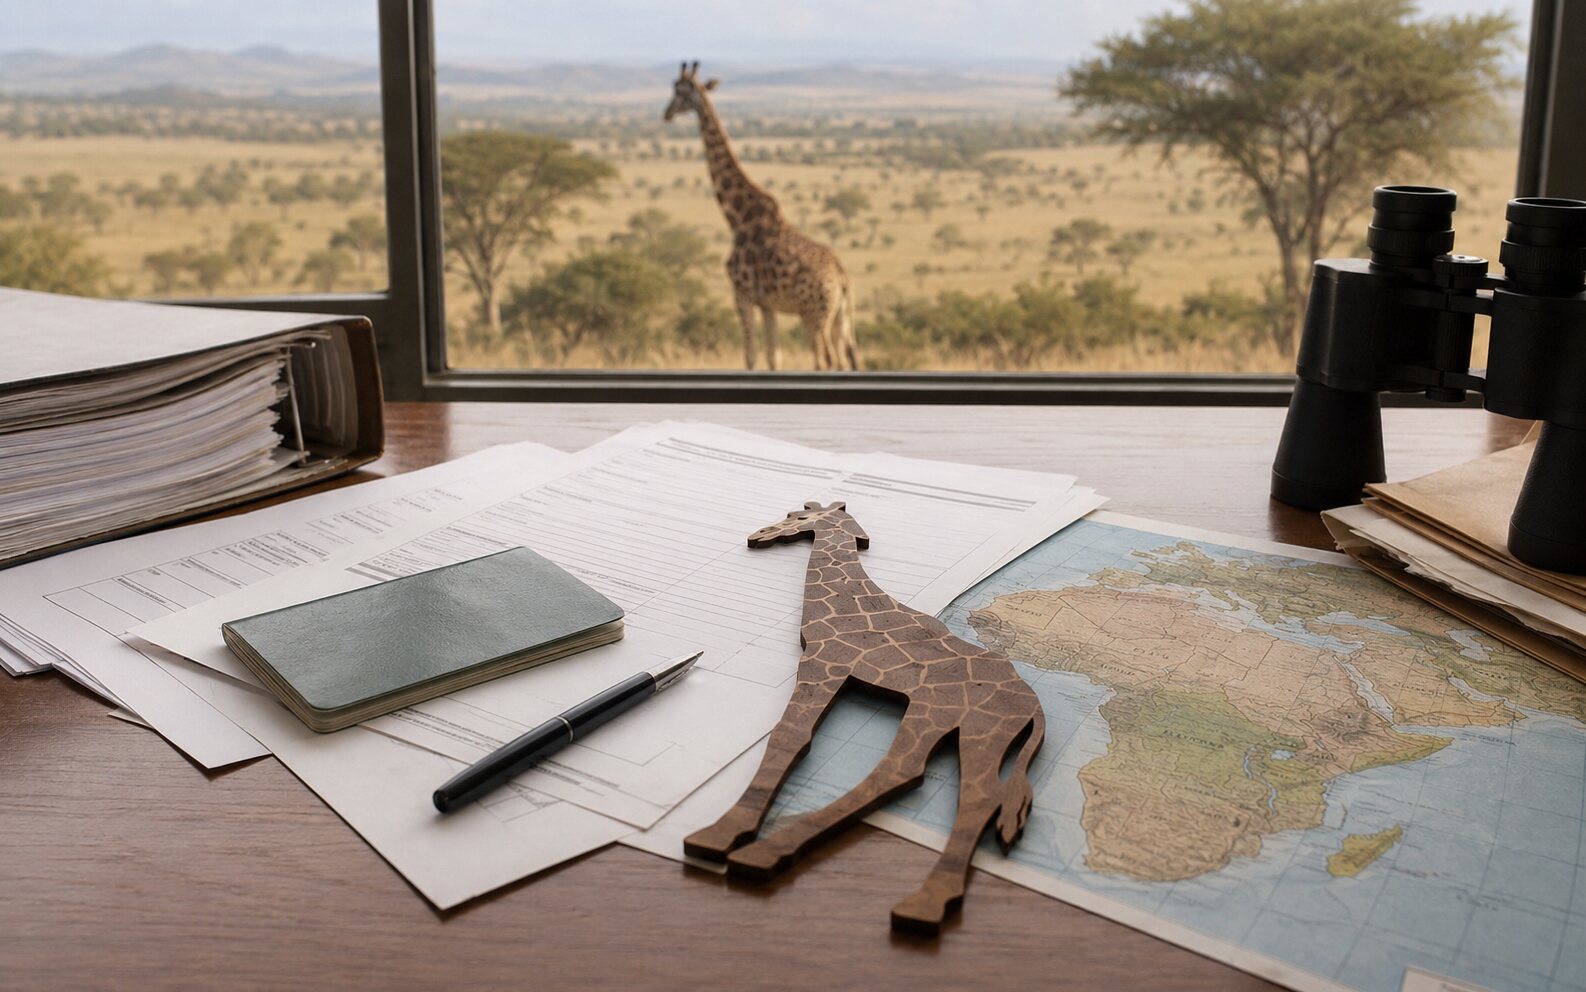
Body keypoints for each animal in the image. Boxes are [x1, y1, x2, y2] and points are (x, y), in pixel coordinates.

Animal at [664, 62, 859, 371]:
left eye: (680, 92)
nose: (667, 113)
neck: (738, 218)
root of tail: (843, 280)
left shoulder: (742, 294)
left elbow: (750, 356)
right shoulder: (768, 304)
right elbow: (773, 358)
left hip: (814, 316)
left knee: (825, 361)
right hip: (842, 319)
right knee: (848, 360)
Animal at [684, 501, 1046, 935]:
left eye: (798, 518)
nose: (761, 534)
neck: (849, 596)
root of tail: (1035, 707)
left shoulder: (825, 663)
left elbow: (790, 737)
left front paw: (719, 834)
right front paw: (722, 835)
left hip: (967, 724)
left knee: (966, 794)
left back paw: (919, 905)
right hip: (949, 720)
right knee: (914, 775)